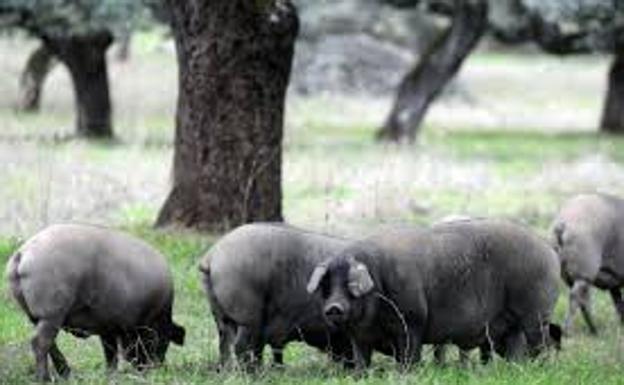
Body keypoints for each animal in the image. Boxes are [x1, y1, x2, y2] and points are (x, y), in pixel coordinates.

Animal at [5, 224, 185, 380]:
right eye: (164, 341)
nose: (157, 367)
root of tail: (23, 253)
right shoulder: (135, 325)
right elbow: (114, 351)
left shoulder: (108, 327)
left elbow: (110, 352)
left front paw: (110, 375)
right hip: (52, 313)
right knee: (40, 342)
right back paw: (45, 378)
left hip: (35, 317)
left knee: (50, 344)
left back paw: (65, 374)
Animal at [200, 222, 360, 368]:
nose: (349, 366)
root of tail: (211, 257)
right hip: (246, 318)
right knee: (241, 346)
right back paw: (250, 372)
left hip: (222, 317)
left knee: (226, 344)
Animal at [308, 218, 560, 368]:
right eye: (327, 284)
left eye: (350, 284)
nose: (333, 307)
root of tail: (548, 249)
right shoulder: (359, 336)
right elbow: (361, 358)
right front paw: (360, 376)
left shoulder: (413, 321)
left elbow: (409, 354)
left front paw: (406, 373)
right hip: (512, 326)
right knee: (517, 345)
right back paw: (515, 368)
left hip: (536, 313)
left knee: (543, 342)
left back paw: (541, 367)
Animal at [552, 192, 624, 332]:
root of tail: (563, 223)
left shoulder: (614, 284)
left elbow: (619, 304)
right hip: (584, 274)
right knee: (576, 298)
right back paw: (568, 331)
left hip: (572, 276)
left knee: (583, 301)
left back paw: (594, 330)